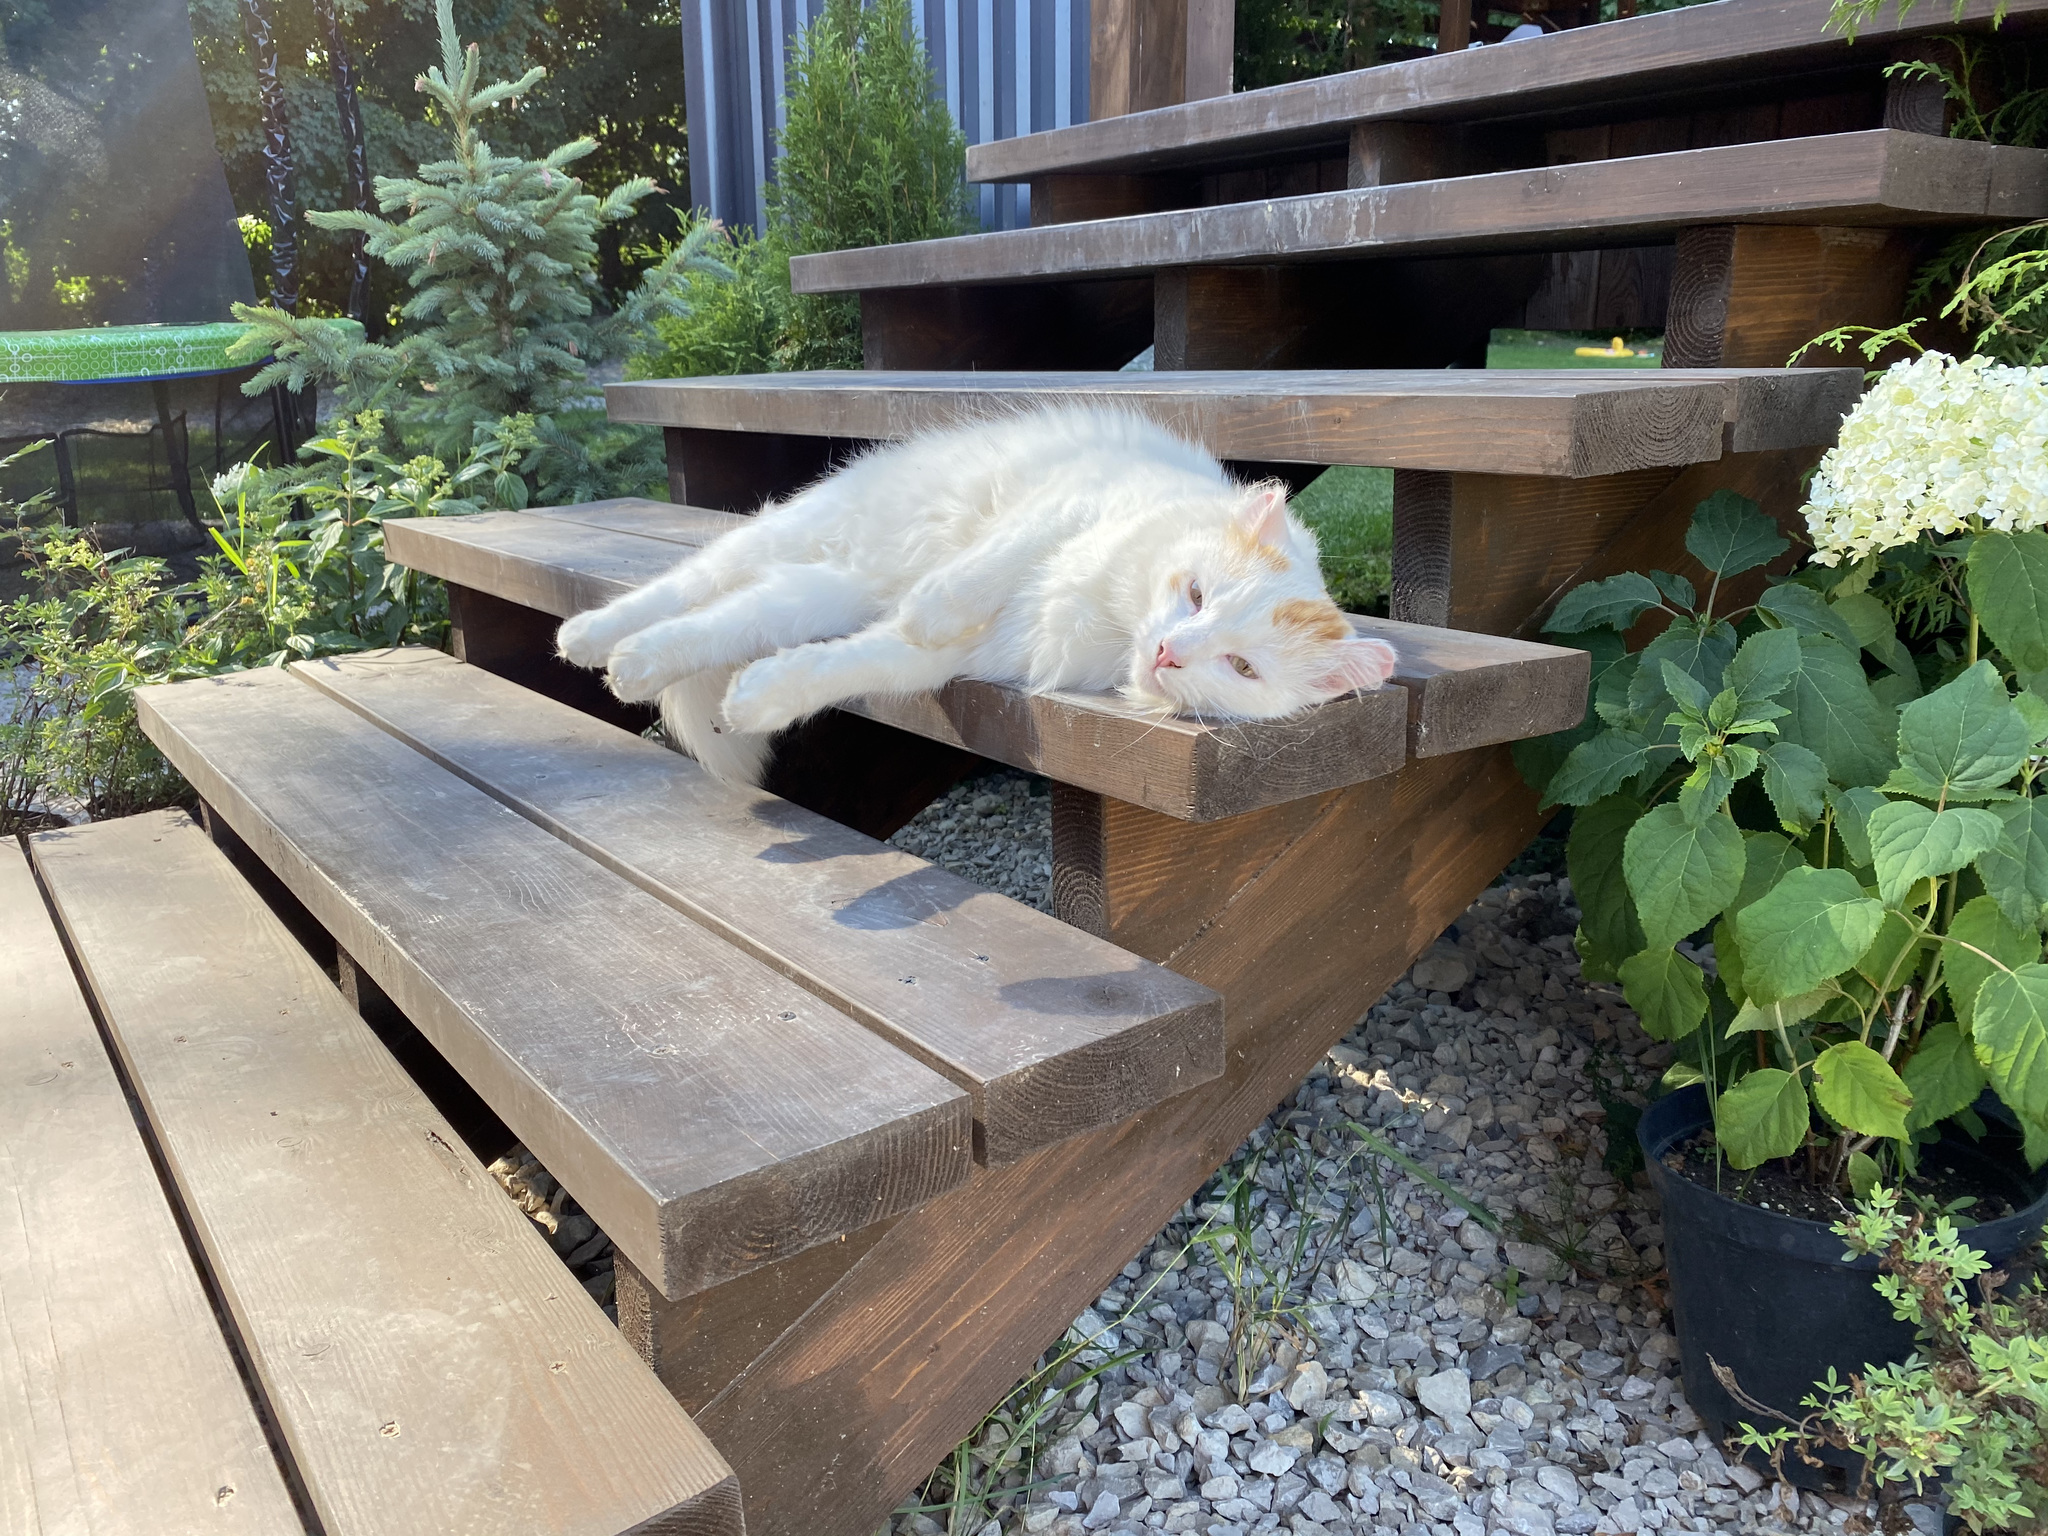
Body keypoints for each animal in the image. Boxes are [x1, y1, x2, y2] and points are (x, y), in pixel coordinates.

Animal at [552, 403, 1400, 786]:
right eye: (1194, 594)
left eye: (1243, 668)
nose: (1168, 651)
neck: (1111, 622)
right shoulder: (1067, 505)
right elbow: (972, 579)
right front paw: (929, 607)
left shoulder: (972, 656)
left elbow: (844, 667)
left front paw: (759, 700)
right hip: (796, 538)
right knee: (683, 586)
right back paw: (591, 639)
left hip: (815, 588)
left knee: (723, 623)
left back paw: (638, 666)